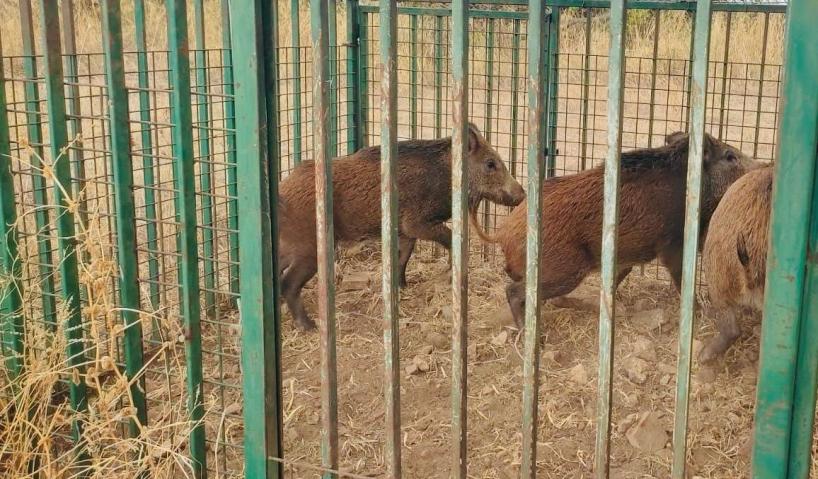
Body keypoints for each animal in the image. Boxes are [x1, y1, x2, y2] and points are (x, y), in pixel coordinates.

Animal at [279, 123, 526, 330]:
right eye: (490, 164)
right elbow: (448, 238)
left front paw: (402, 286)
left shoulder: (405, 231)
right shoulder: (416, 223)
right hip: (309, 250)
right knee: (288, 284)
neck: (446, 174)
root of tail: (282, 193)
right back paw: (309, 326)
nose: (522, 194)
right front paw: (448, 274)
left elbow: (404, 256)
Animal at [472, 132, 761, 329]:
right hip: (563, 270)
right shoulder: (672, 245)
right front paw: (701, 311)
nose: (762, 166)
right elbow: (681, 279)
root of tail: (504, 232)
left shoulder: (628, 255)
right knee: (513, 291)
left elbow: (618, 277)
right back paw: (530, 335)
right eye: (730, 156)